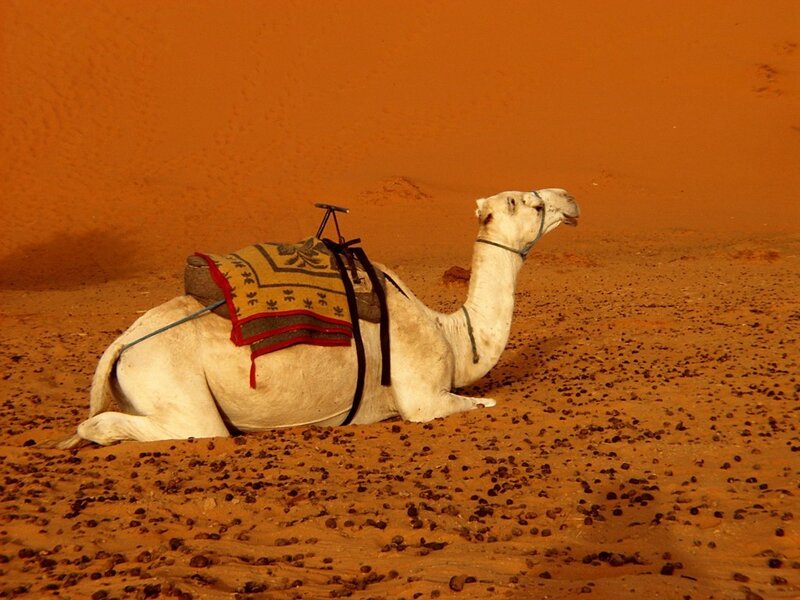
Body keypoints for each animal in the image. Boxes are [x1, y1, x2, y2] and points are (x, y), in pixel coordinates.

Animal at [57, 189, 579, 448]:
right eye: (529, 203)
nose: (569, 197)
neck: (452, 335)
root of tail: (120, 346)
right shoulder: (423, 398)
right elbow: (482, 404)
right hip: (176, 391)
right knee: (120, 427)